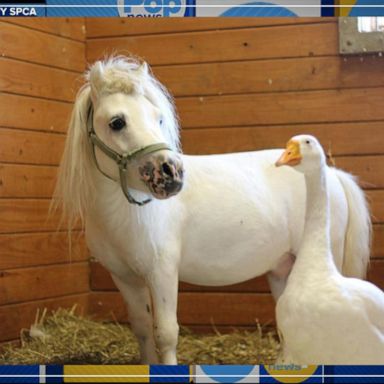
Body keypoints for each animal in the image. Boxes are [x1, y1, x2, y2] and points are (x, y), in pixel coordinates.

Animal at [54, 55, 372, 364]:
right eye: (117, 122)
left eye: (159, 118)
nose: (171, 173)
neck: (123, 213)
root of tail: (333, 174)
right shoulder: (125, 278)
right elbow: (142, 329)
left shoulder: (162, 272)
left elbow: (165, 334)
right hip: (283, 268)